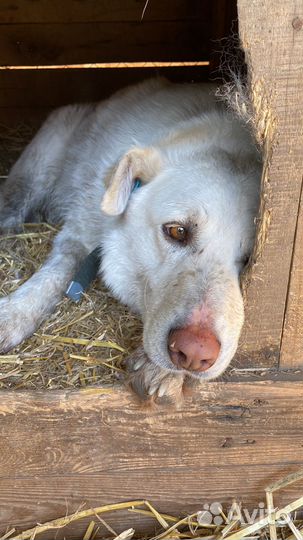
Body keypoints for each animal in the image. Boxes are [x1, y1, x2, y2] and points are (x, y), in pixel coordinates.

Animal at [0, 79, 262, 400]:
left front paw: (162, 371)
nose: (194, 353)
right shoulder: (81, 230)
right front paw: (13, 313)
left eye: (251, 258)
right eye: (177, 231)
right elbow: (56, 271)